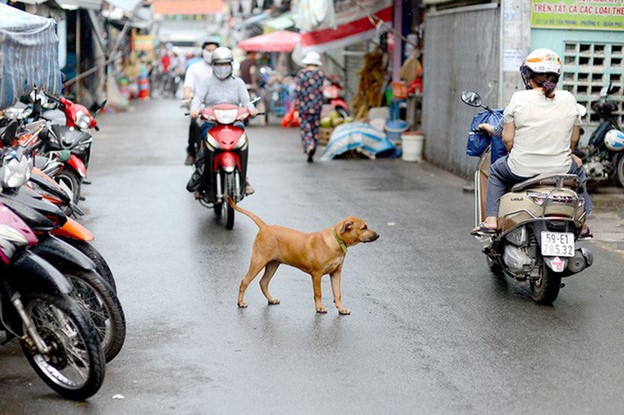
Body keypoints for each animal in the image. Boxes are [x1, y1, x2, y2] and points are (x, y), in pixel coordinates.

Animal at [227, 198, 378, 316]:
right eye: (364, 227)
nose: (378, 235)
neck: (336, 241)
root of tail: (265, 227)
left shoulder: (336, 273)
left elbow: (337, 293)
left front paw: (341, 309)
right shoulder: (317, 274)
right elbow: (318, 293)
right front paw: (320, 308)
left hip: (273, 264)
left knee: (263, 282)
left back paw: (271, 299)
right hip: (258, 261)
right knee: (245, 281)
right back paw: (240, 302)